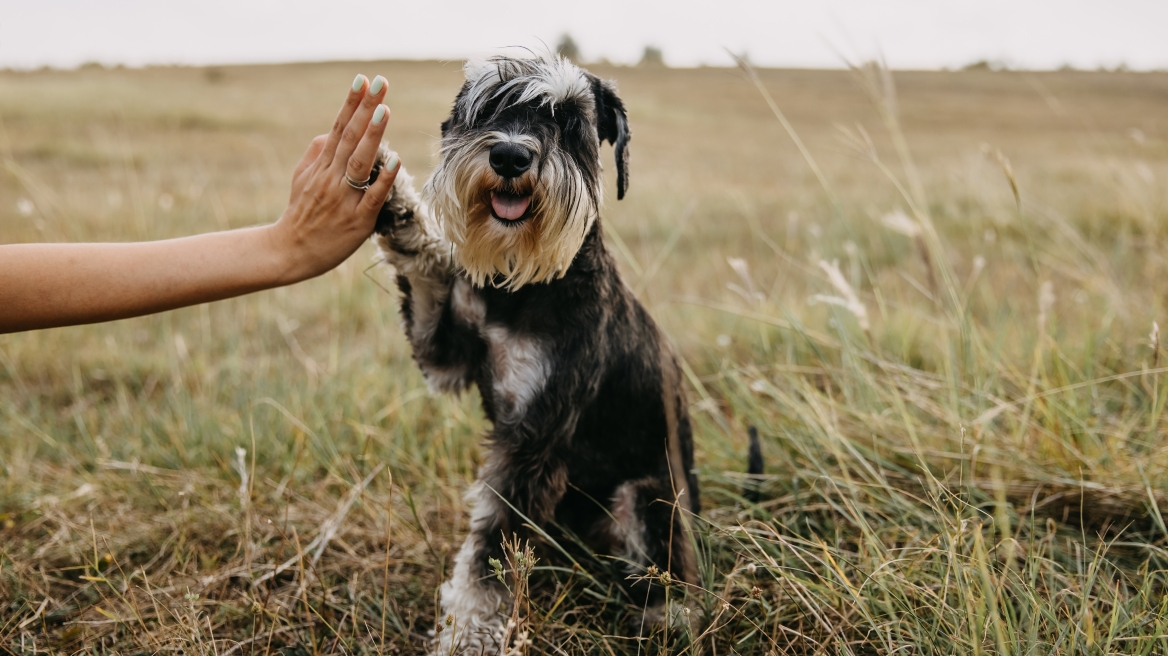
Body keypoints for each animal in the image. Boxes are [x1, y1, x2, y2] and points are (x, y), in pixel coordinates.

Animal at [373, 53, 700, 648]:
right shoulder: (446, 354)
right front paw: (395, 204)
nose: (509, 155)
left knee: (672, 579)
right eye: (486, 108)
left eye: (569, 120)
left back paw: (664, 618)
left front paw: (469, 633)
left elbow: (491, 550)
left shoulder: (534, 439)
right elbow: (426, 269)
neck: (522, 285)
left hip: (646, 498)